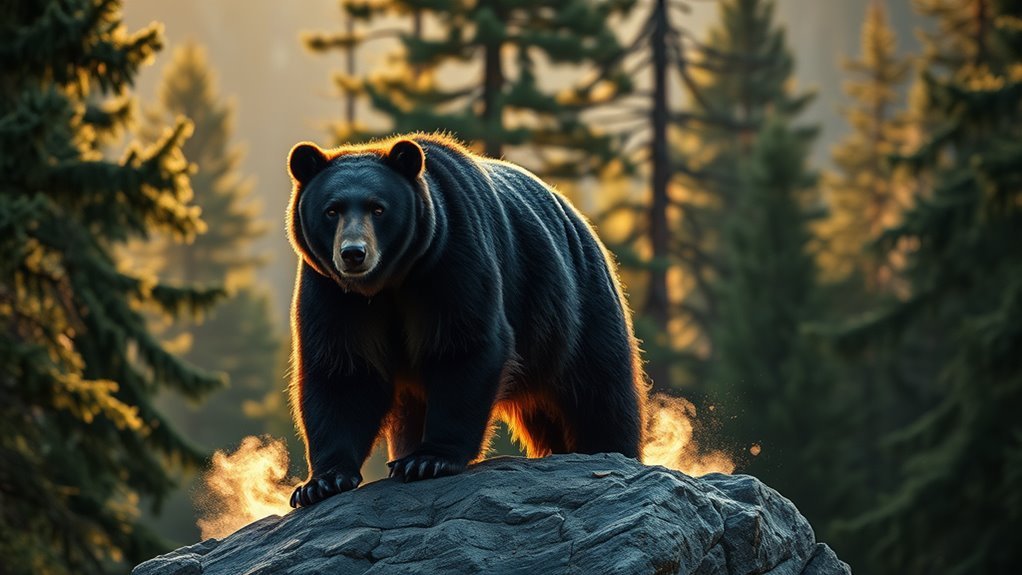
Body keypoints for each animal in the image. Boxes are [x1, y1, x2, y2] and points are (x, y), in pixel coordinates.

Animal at [285, 134, 647, 508]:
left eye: (378, 208)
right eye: (332, 209)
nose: (354, 253)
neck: (389, 282)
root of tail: (579, 218)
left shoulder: (452, 259)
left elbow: (463, 345)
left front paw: (429, 459)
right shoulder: (332, 293)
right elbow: (340, 370)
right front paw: (321, 482)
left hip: (572, 308)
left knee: (599, 388)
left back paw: (609, 450)